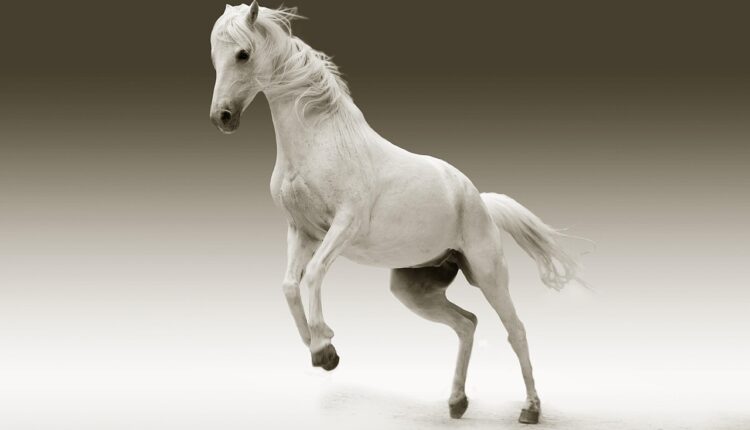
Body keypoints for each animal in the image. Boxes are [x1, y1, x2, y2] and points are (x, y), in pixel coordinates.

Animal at [209, 2, 583, 424]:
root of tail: (479, 200)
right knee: (466, 324)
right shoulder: (301, 231)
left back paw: (530, 409)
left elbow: (314, 275)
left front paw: (325, 347)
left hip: (488, 274)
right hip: (413, 288)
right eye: (215, 57)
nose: (222, 117)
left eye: (243, 54)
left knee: (515, 330)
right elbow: (289, 285)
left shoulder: (344, 226)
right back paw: (457, 402)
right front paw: (319, 348)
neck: (321, 142)